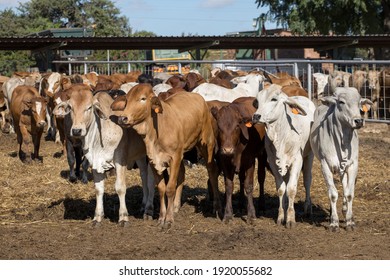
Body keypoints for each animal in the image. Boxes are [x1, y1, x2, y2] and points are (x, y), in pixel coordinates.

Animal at [53, 84, 155, 226]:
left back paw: (149, 209)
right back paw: (143, 204)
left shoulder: (120, 160)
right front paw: (97, 217)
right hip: (139, 156)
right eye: (71, 108)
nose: (77, 130)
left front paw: (123, 217)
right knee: (143, 176)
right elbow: (98, 189)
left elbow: (120, 188)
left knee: (150, 180)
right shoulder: (95, 163)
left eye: (89, 107)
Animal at [112, 84, 222, 229]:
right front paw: (161, 217)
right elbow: (161, 189)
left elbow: (170, 188)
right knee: (182, 173)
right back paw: (175, 206)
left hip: (206, 143)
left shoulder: (174, 158)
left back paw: (216, 206)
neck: (157, 131)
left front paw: (169, 220)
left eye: (143, 98)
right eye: (127, 100)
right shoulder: (153, 160)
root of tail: (198, 97)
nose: (122, 118)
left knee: (212, 171)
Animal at [251, 85, 316, 228]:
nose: (256, 116)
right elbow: (281, 189)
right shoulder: (273, 162)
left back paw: (308, 208)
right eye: (257, 101)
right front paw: (281, 217)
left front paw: (291, 219)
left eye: (274, 99)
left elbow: (291, 189)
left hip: (309, 156)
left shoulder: (297, 160)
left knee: (307, 180)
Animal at [310, 87, 372, 232]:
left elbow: (349, 193)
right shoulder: (325, 165)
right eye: (341, 102)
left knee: (345, 187)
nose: (359, 121)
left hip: (344, 168)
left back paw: (345, 210)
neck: (342, 142)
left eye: (359, 102)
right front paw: (334, 222)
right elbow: (332, 194)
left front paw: (349, 221)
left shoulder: (353, 165)